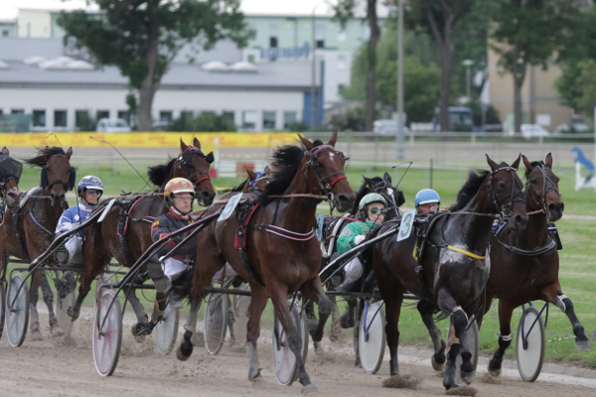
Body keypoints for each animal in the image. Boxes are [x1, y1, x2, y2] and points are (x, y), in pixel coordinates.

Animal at [0, 145, 76, 338]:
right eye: (48, 168)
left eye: (68, 169)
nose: (57, 196)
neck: (50, 216)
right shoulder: (37, 254)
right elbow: (46, 292)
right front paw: (54, 325)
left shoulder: (58, 254)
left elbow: (67, 279)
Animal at [67, 138, 217, 336]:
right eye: (190, 164)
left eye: (207, 164)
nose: (209, 194)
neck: (161, 210)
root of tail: (100, 207)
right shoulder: (149, 257)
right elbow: (156, 287)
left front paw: (148, 322)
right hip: (95, 254)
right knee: (86, 282)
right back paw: (74, 312)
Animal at [176, 131, 354, 392]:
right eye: (319, 163)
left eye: (342, 161)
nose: (347, 197)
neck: (292, 227)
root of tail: (217, 204)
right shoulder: (276, 284)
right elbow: (291, 333)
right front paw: (305, 379)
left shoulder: (308, 279)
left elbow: (324, 305)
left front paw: (317, 333)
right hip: (209, 262)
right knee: (197, 293)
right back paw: (186, 344)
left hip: (258, 285)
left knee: (252, 328)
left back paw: (254, 371)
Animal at [370, 155, 528, 390]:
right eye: (501, 184)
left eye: (521, 184)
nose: (520, 218)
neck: (467, 241)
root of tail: (385, 226)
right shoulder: (445, 293)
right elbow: (460, 322)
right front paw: (466, 365)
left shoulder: (471, 298)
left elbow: (459, 334)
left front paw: (452, 379)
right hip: (391, 288)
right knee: (392, 330)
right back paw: (396, 375)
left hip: (425, 292)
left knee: (422, 309)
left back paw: (436, 356)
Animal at [484, 153, 592, 376]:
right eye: (534, 181)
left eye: (556, 178)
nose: (555, 207)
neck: (529, 246)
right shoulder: (506, 299)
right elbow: (505, 337)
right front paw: (495, 363)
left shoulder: (547, 286)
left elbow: (567, 304)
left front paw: (581, 336)